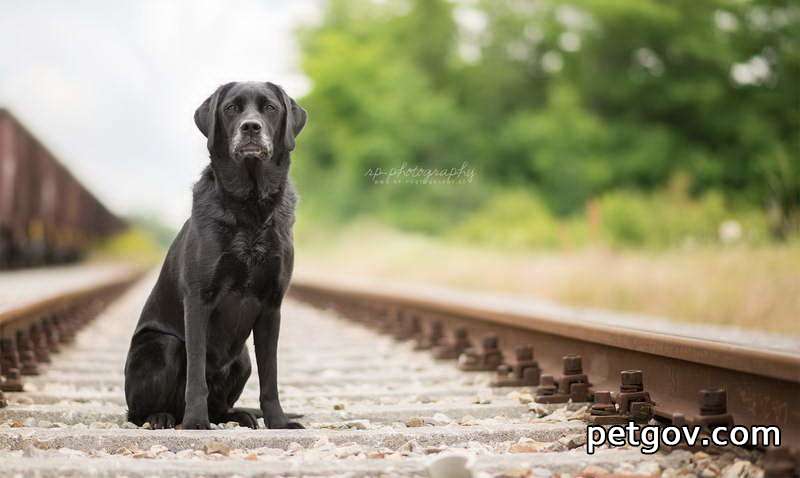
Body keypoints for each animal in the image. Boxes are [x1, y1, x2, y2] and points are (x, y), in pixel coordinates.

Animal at [124, 81, 306, 430]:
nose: (251, 127)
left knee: (223, 403)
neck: (250, 206)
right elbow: (196, 375)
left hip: (242, 360)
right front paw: (196, 422)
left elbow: (271, 376)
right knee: (137, 412)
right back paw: (164, 417)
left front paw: (278, 422)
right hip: (161, 346)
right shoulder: (198, 299)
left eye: (270, 108)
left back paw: (240, 415)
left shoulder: (272, 305)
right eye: (231, 108)